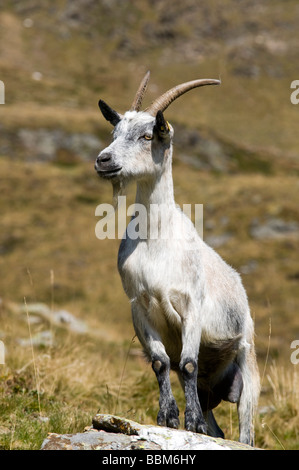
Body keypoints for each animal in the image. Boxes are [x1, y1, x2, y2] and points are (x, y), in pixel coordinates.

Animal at [95, 71, 260, 446]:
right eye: (114, 133)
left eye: (147, 135)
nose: (103, 160)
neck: (156, 242)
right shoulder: (139, 307)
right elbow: (160, 363)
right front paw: (168, 418)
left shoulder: (192, 306)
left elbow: (185, 364)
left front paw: (190, 423)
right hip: (212, 386)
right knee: (218, 425)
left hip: (247, 359)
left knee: (245, 427)